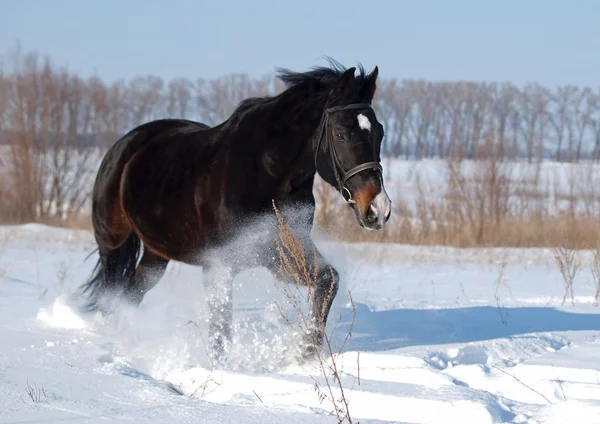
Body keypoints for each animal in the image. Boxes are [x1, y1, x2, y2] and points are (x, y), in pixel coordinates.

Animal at [82, 59, 394, 362]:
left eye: (379, 132)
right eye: (340, 134)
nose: (378, 209)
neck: (265, 173)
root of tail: (125, 145)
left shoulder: (278, 253)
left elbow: (329, 280)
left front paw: (304, 352)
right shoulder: (219, 265)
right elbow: (220, 330)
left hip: (156, 254)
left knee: (132, 293)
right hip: (112, 244)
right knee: (111, 297)